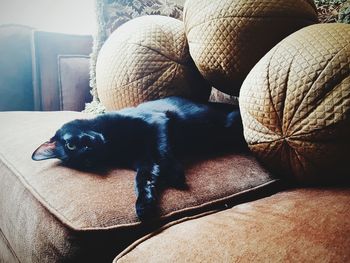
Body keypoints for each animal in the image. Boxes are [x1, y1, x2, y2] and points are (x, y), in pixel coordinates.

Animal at [32, 97, 246, 221]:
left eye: (70, 145)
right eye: (88, 163)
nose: (89, 150)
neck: (114, 144)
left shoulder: (157, 121)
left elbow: (162, 150)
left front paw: (175, 174)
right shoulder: (144, 161)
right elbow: (143, 180)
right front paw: (144, 205)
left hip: (232, 121)